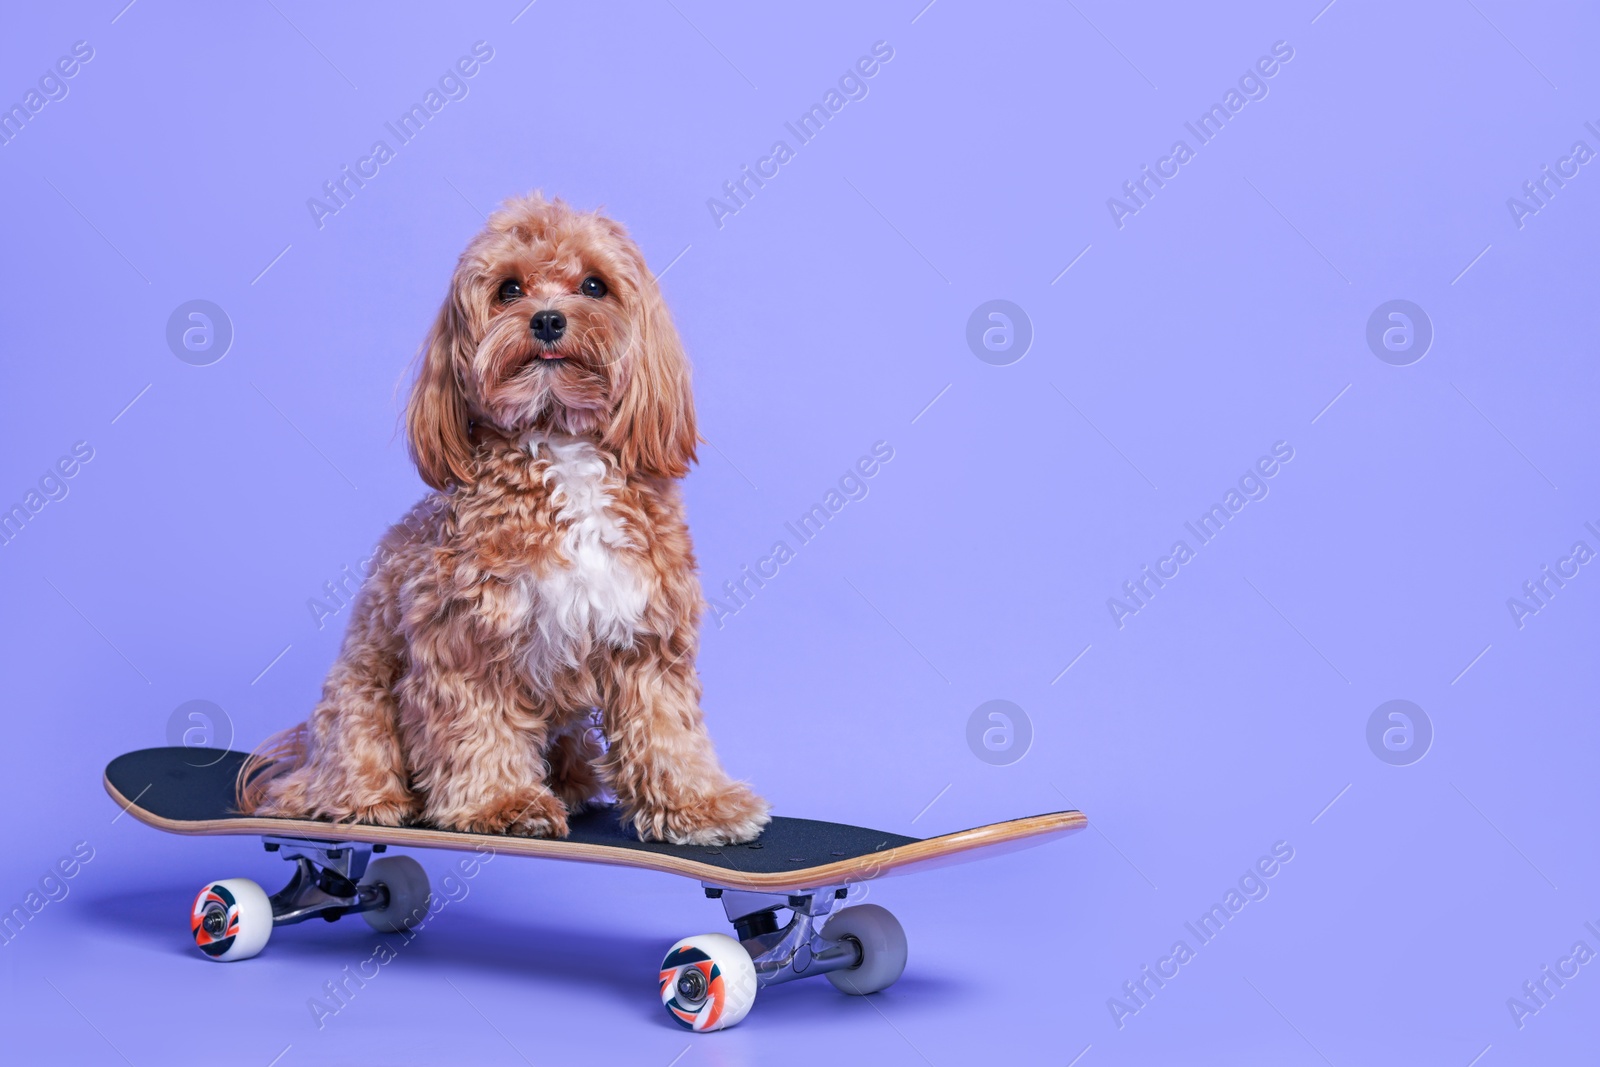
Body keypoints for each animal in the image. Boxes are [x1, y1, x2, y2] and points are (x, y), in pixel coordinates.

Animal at [233, 189, 774, 844]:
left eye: (594, 285)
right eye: (509, 290)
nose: (547, 320)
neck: (561, 443)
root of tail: (302, 763)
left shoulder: (649, 633)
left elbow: (667, 728)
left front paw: (698, 805)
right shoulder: (465, 638)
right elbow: (478, 725)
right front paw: (500, 803)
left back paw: (572, 786)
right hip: (358, 697)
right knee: (351, 760)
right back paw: (368, 800)